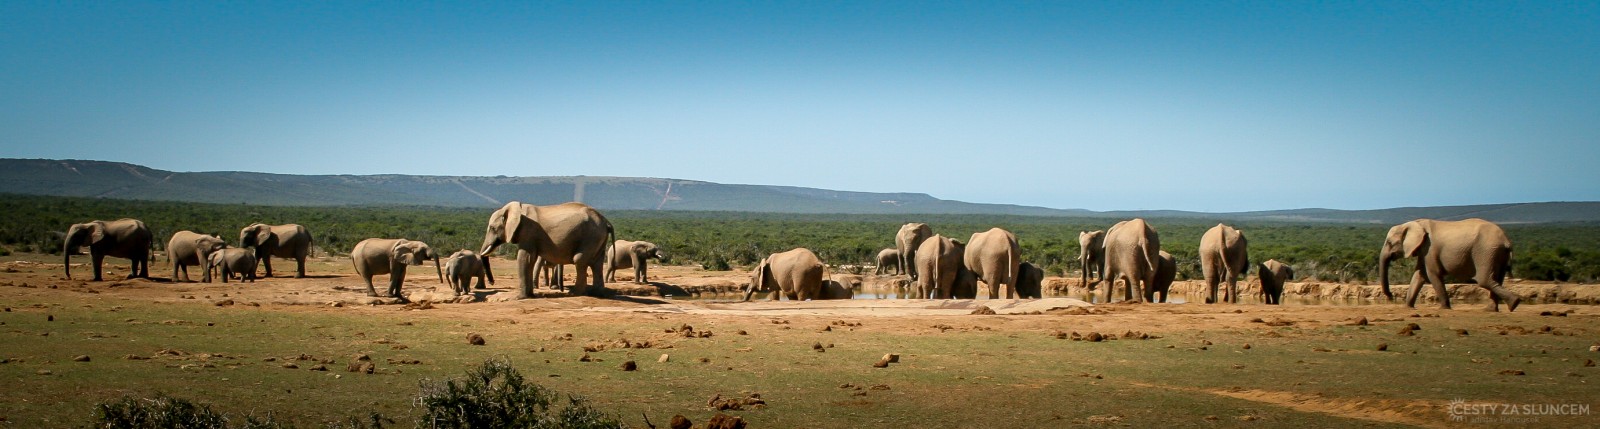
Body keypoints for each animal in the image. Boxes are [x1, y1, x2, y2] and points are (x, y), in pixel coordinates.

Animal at [480, 201, 614, 298]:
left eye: (492, 228)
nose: (492, 282)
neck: (518, 208)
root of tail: (606, 221)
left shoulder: (528, 233)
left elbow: (525, 258)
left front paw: (520, 297)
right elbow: (531, 259)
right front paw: (530, 295)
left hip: (591, 236)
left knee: (580, 259)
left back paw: (575, 293)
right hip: (598, 237)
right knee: (597, 263)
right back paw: (597, 293)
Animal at [1378, 218, 1520, 312]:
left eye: (1390, 243)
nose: (1391, 296)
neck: (1416, 223)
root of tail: (1506, 241)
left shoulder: (1430, 248)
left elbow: (1432, 274)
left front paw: (1444, 308)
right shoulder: (1424, 250)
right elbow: (1419, 275)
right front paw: (1408, 307)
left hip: (1486, 251)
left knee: (1484, 279)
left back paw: (1513, 304)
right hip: (1496, 253)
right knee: (1497, 279)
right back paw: (1497, 308)